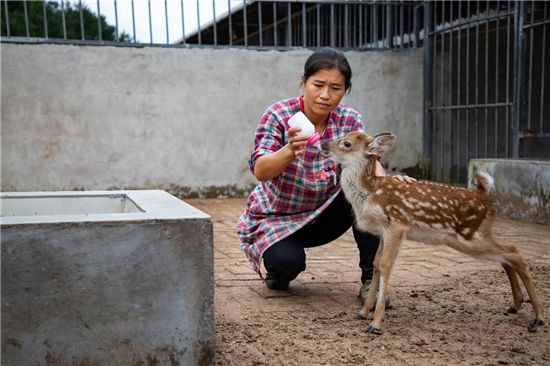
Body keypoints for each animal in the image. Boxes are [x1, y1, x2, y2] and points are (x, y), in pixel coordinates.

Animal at [322, 131, 544, 334]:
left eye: (346, 143)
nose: (323, 145)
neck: (370, 194)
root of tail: (486, 199)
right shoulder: (383, 231)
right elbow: (377, 264)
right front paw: (363, 313)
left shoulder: (397, 225)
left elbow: (385, 265)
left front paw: (375, 324)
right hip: (472, 236)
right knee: (507, 255)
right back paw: (516, 305)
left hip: (470, 235)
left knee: (513, 251)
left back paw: (538, 317)